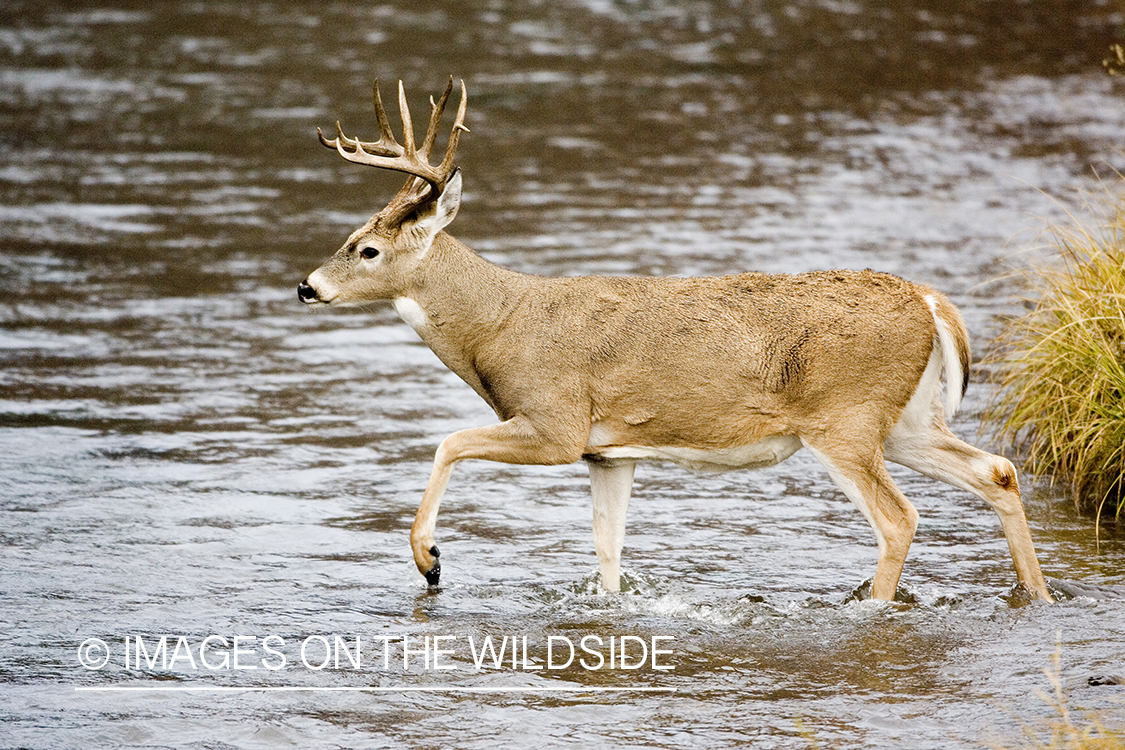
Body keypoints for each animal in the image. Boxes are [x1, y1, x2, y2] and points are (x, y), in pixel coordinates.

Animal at [299, 77, 1053, 602]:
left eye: (365, 249)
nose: (307, 286)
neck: (501, 323)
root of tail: (928, 302)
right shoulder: (608, 453)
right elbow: (608, 555)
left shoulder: (557, 422)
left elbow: (448, 442)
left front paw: (428, 560)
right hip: (902, 419)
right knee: (996, 471)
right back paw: (1038, 594)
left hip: (844, 418)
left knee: (899, 518)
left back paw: (871, 607)